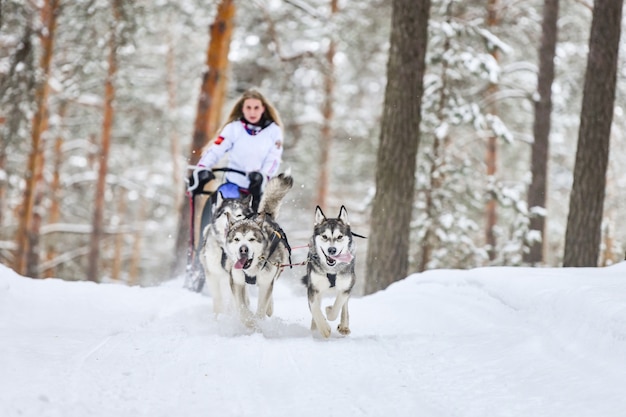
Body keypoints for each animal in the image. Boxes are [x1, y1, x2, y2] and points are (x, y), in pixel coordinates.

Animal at [223, 173, 294, 324]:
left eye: (251, 239)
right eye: (237, 239)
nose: (243, 250)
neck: (252, 270)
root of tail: (265, 215)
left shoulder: (266, 283)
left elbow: (261, 309)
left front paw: (258, 323)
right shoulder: (237, 281)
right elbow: (242, 308)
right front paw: (249, 321)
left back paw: (269, 308)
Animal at [302, 206, 356, 338]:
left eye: (340, 237)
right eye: (325, 236)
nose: (332, 250)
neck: (332, 270)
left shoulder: (346, 287)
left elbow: (338, 307)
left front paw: (329, 310)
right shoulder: (313, 288)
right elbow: (315, 308)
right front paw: (323, 328)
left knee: (345, 307)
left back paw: (344, 326)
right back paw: (315, 328)